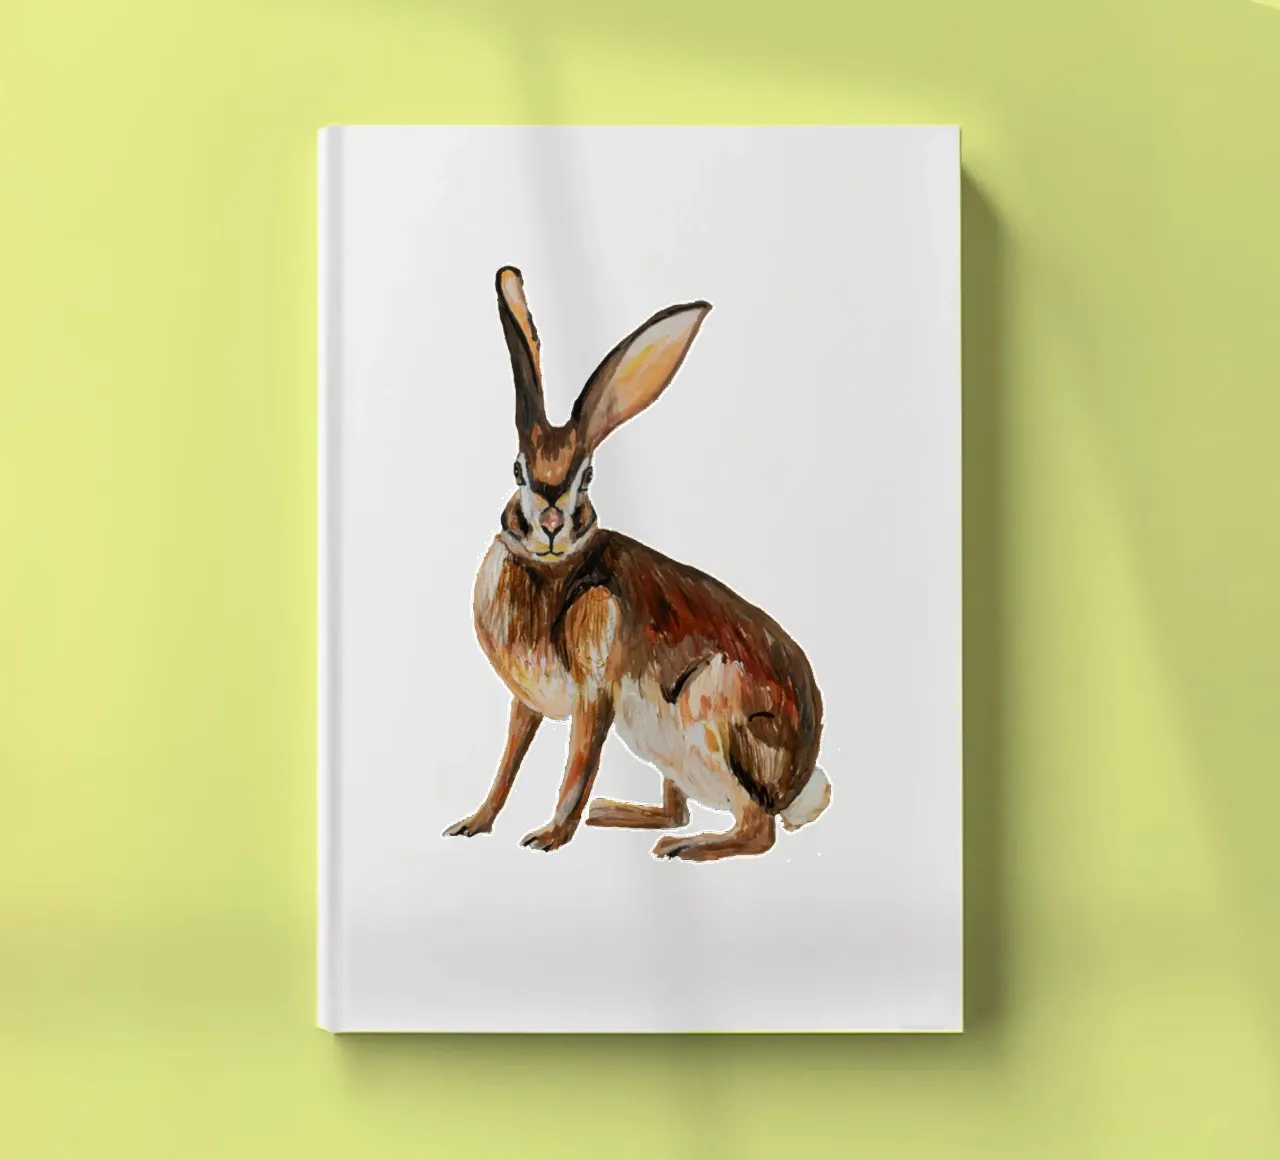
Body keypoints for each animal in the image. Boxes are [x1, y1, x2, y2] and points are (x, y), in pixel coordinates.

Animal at [444, 267, 830, 861]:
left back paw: (686, 847)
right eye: (518, 470)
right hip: (662, 745)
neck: (551, 570)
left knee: (756, 829)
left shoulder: (595, 693)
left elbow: (578, 766)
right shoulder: (526, 703)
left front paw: (549, 837)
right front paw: (474, 823)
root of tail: (798, 782)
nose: (550, 522)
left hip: (711, 710)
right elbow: (508, 762)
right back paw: (617, 814)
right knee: (681, 806)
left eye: (586, 477)